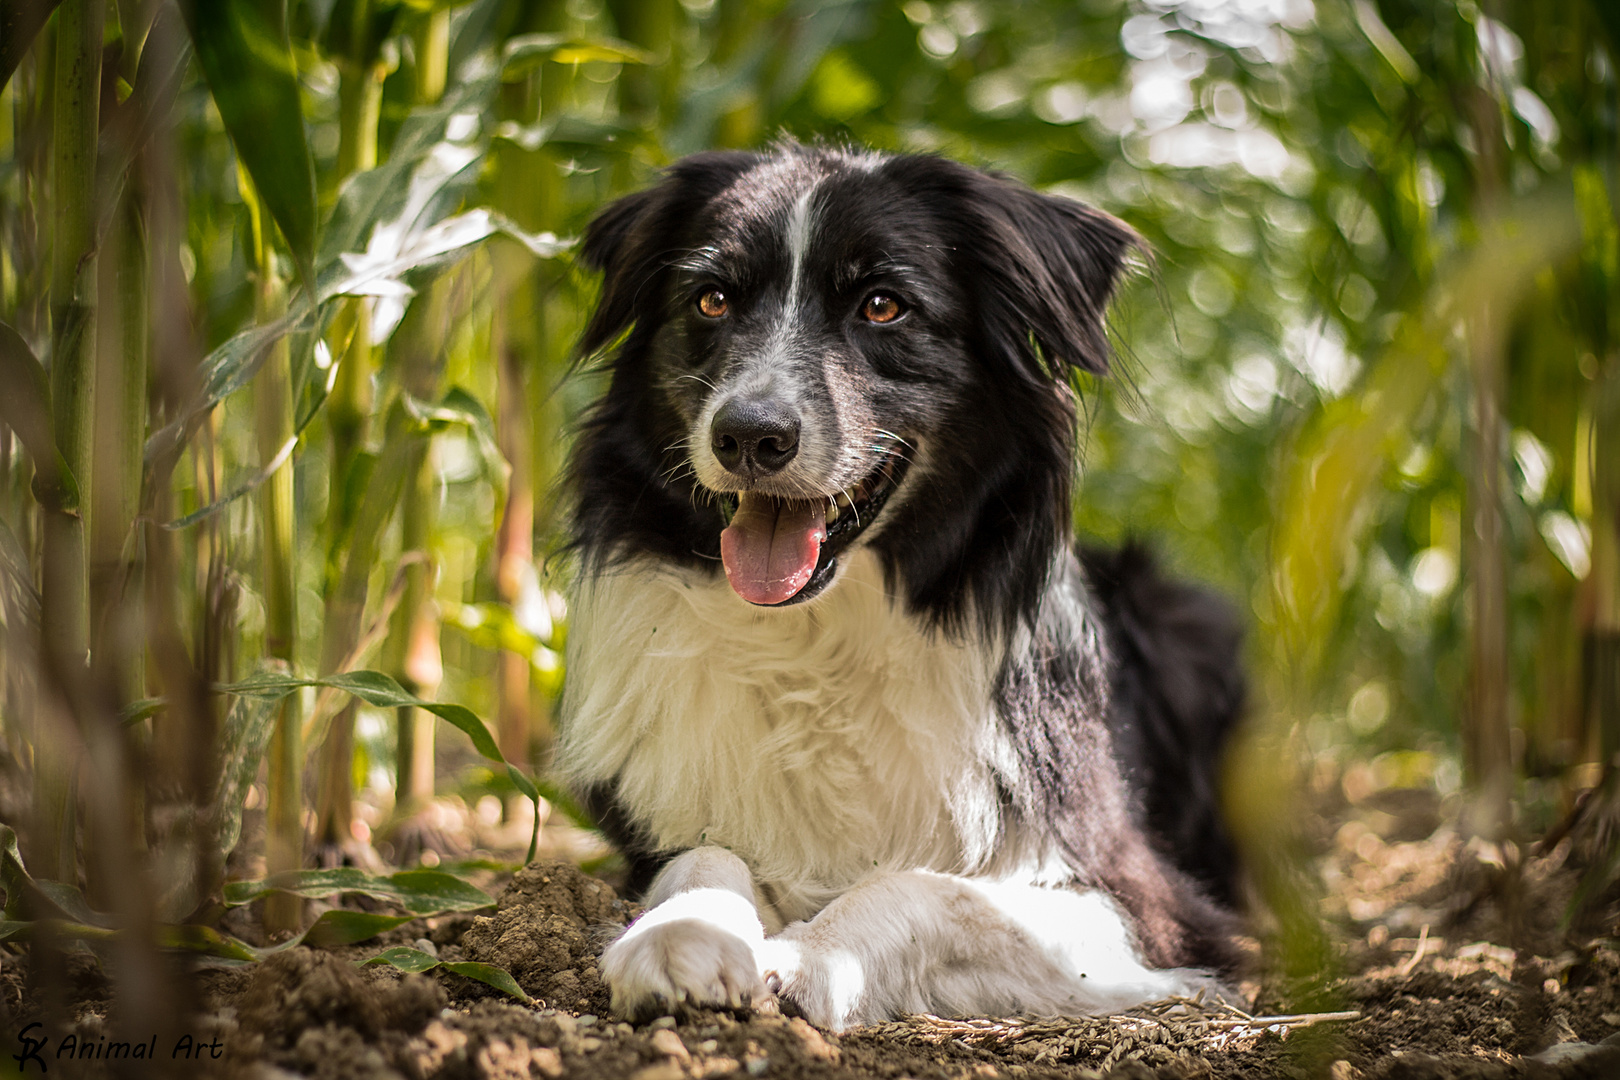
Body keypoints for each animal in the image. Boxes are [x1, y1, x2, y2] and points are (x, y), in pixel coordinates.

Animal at [563, 143, 1244, 1029]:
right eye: (711, 299)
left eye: (883, 306)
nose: (748, 434)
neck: (821, 640)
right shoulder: (661, 830)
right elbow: (703, 856)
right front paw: (686, 935)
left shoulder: (1145, 899)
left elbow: (935, 888)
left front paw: (811, 956)